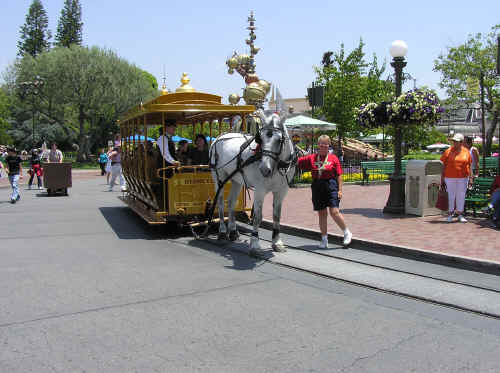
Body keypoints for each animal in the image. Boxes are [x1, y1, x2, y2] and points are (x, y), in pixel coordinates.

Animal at [208, 109, 296, 254]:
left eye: (279, 140)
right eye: (261, 138)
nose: (264, 169)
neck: (278, 165)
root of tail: (218, 138)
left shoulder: (281, 191)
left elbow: (277, 216)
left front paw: (276, 242)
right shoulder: (260, 190)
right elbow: (257, 216)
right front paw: (255, 243)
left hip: (236, 180)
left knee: (231, 203)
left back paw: (233, 231)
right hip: (218, 177)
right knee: (220, 203)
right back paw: (222, 232)